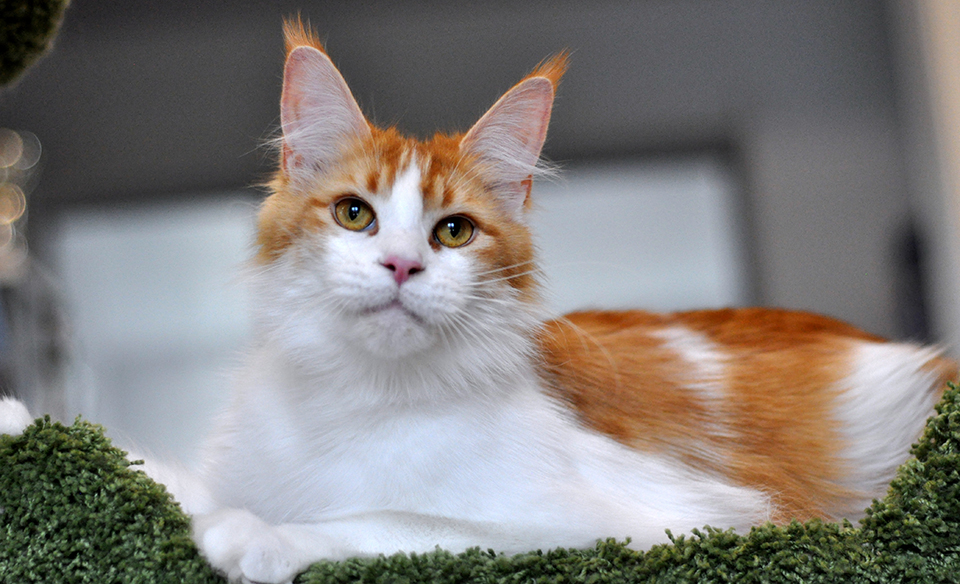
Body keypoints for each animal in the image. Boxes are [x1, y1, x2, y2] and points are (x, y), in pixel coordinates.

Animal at [3, 18, 956, 584]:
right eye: (355, 214)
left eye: (454, 231)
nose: (399, 266)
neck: (359, 399)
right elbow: (143, 466)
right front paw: (15, 415)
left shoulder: (645, 523)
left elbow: (396, 518)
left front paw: (258, 537)